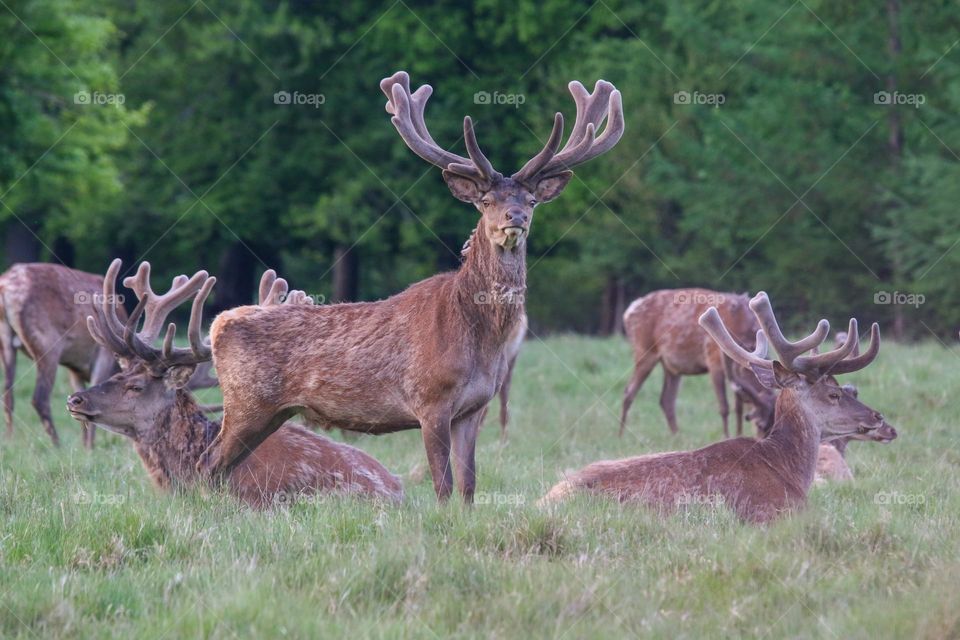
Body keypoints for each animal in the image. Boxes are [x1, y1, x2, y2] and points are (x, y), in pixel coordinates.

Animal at [195, 70, 623, 502]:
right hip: (247, 401)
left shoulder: (472, 409)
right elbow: (443, 485)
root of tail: (218, 324)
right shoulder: (430, 400)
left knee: (219, 466)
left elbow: (469, 485)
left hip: (269, 411)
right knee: (207, 462)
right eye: (486, 201)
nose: (514, 217)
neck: (479, 336)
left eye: (532, 200)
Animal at [619, 288, 776, 439]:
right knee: (629, 391)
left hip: (671, 366)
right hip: (644, 350)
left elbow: (738, 407)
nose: (763, 440)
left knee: (666, 400)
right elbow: (724, 407)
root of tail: (628, 312)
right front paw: (726, 436)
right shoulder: (714, 360)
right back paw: (621, 435)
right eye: (760, 425)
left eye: (773, 422)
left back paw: (677, 436)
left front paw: (738, 434)